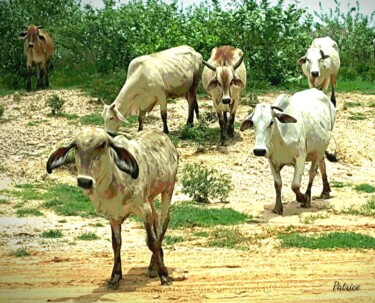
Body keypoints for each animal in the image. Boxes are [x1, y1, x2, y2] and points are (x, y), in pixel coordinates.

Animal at [47, 128, 179, 290]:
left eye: (102, 144)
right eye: (76, 146)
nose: (84, 181)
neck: (115, 181)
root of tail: (164, 136)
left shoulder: (143, 209)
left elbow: (151, 241)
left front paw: (164, 275)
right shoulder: (113, 217)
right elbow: (116, 244)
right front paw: (115, 277)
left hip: (168, 189)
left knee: (163, 222)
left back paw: (155, 266)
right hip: (151, 197)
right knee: (157, 222)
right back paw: (154, 264)